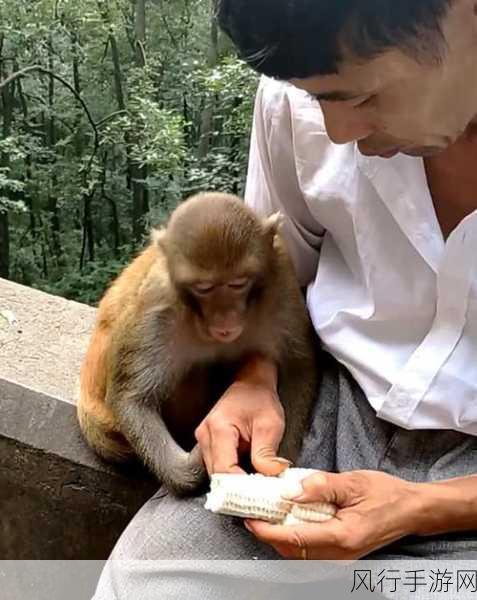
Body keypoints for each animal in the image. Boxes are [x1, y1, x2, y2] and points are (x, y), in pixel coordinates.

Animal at [76, 192, 318, 496]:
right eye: (204, 288)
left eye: (238, 283)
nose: (225, 317)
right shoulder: (159, 305)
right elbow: (131, 399)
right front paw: (194, 465)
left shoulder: (281, 279)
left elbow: (298, 365)